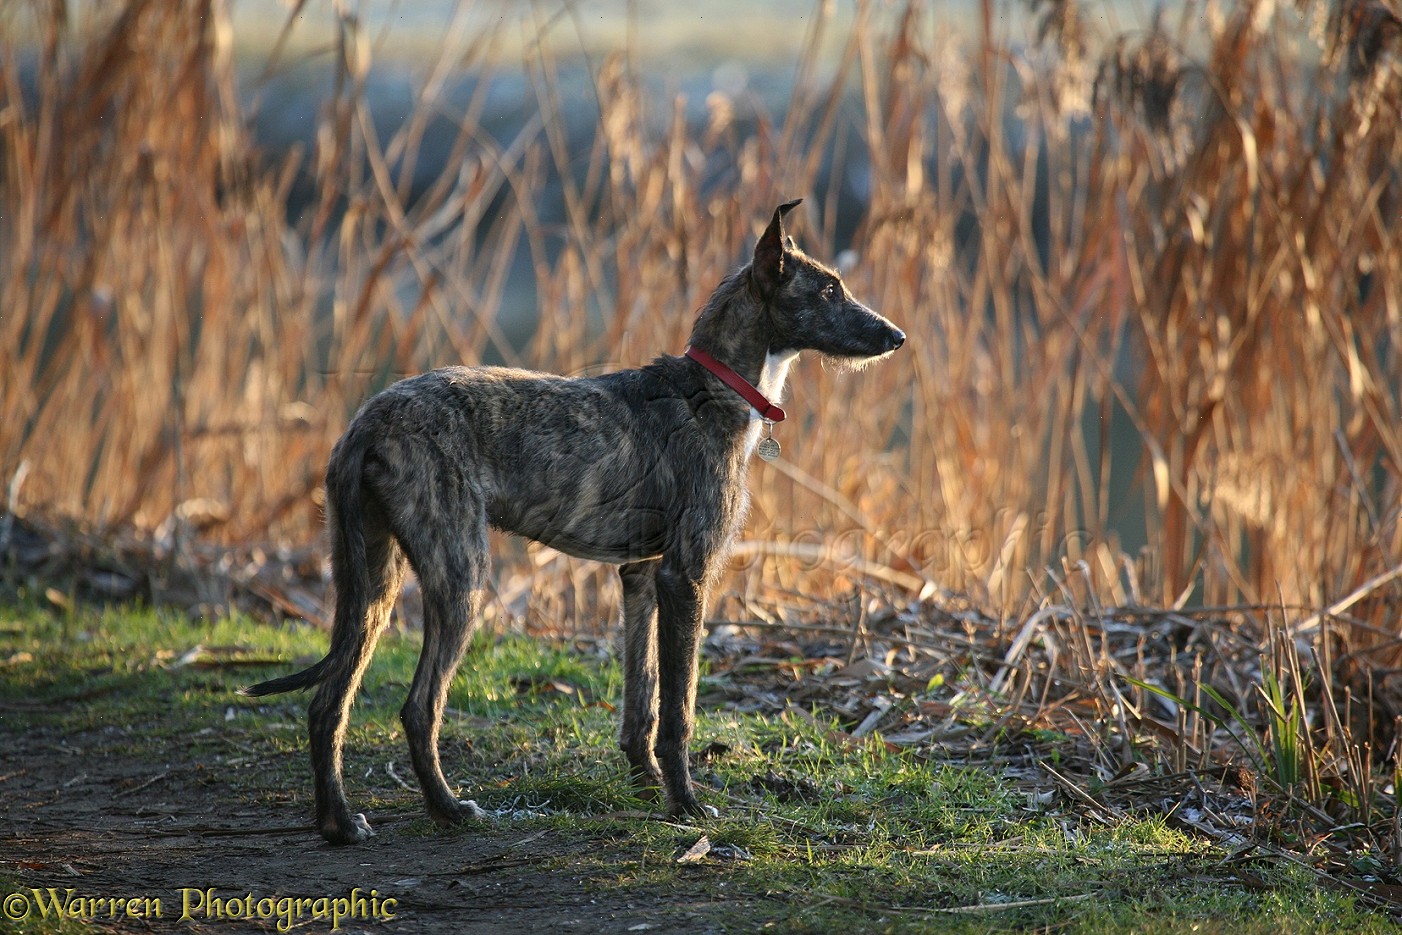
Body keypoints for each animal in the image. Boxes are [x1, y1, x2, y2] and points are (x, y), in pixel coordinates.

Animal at [245, 201, 902, 846]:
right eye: (829, 289)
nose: (895, 337)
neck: (713, 387)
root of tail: (367, 422)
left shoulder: (641, 577)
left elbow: (642, 701)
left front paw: (647, 786)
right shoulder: (686, 576)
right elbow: (680, 707)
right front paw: (685, 804)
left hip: (371, 583)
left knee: (327, 702)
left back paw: (338, 821)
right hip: (460, 577)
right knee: (418, 706)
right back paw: (448, 809)